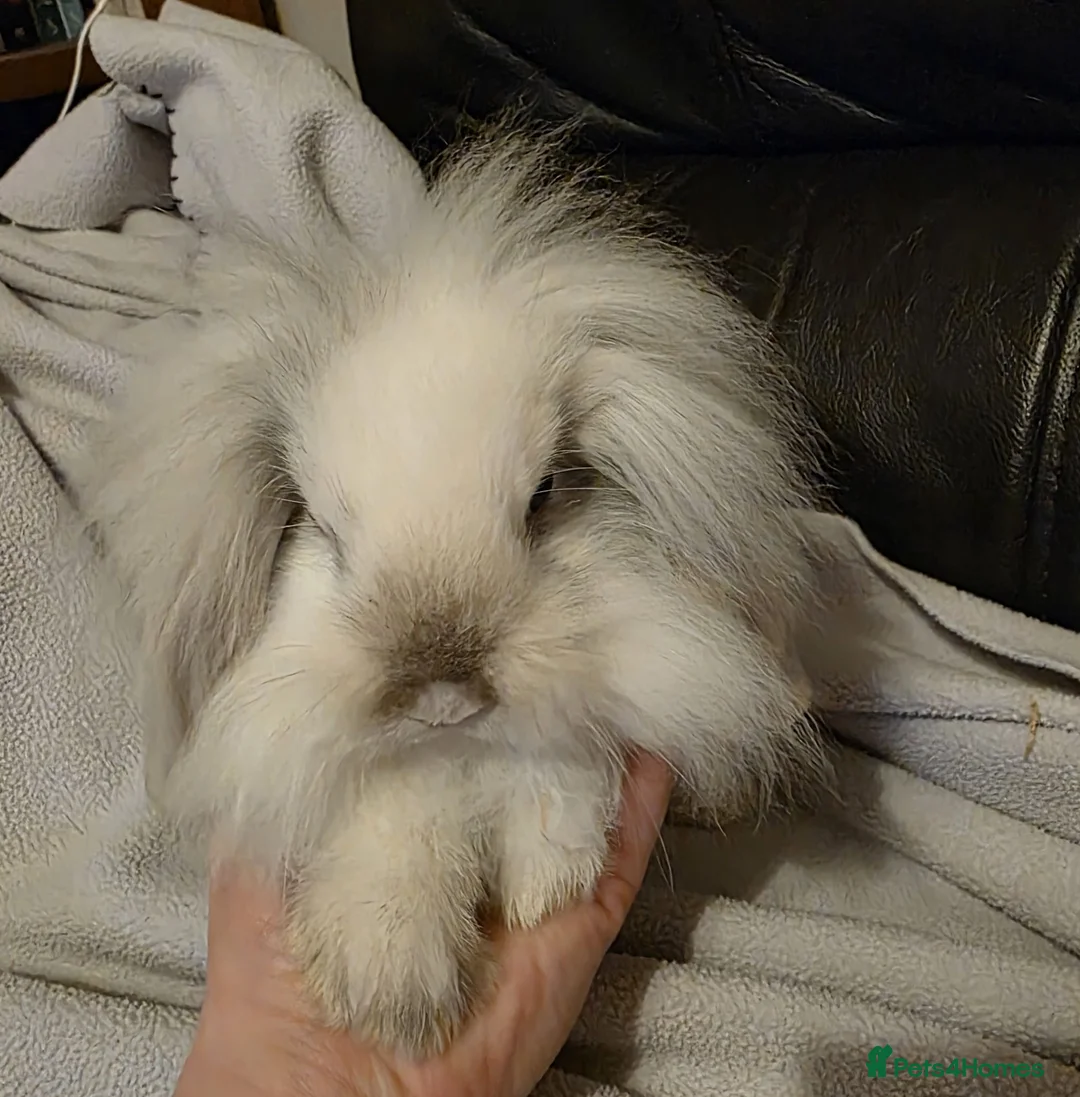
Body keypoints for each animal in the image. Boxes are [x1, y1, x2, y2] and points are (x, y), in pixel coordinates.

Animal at [68, 121, 824, 1059]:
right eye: (319, 528)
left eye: (545, 495)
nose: (443, 694)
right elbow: (398, 802)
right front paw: (389, 987)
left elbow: (565, 742)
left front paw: (544, 877)